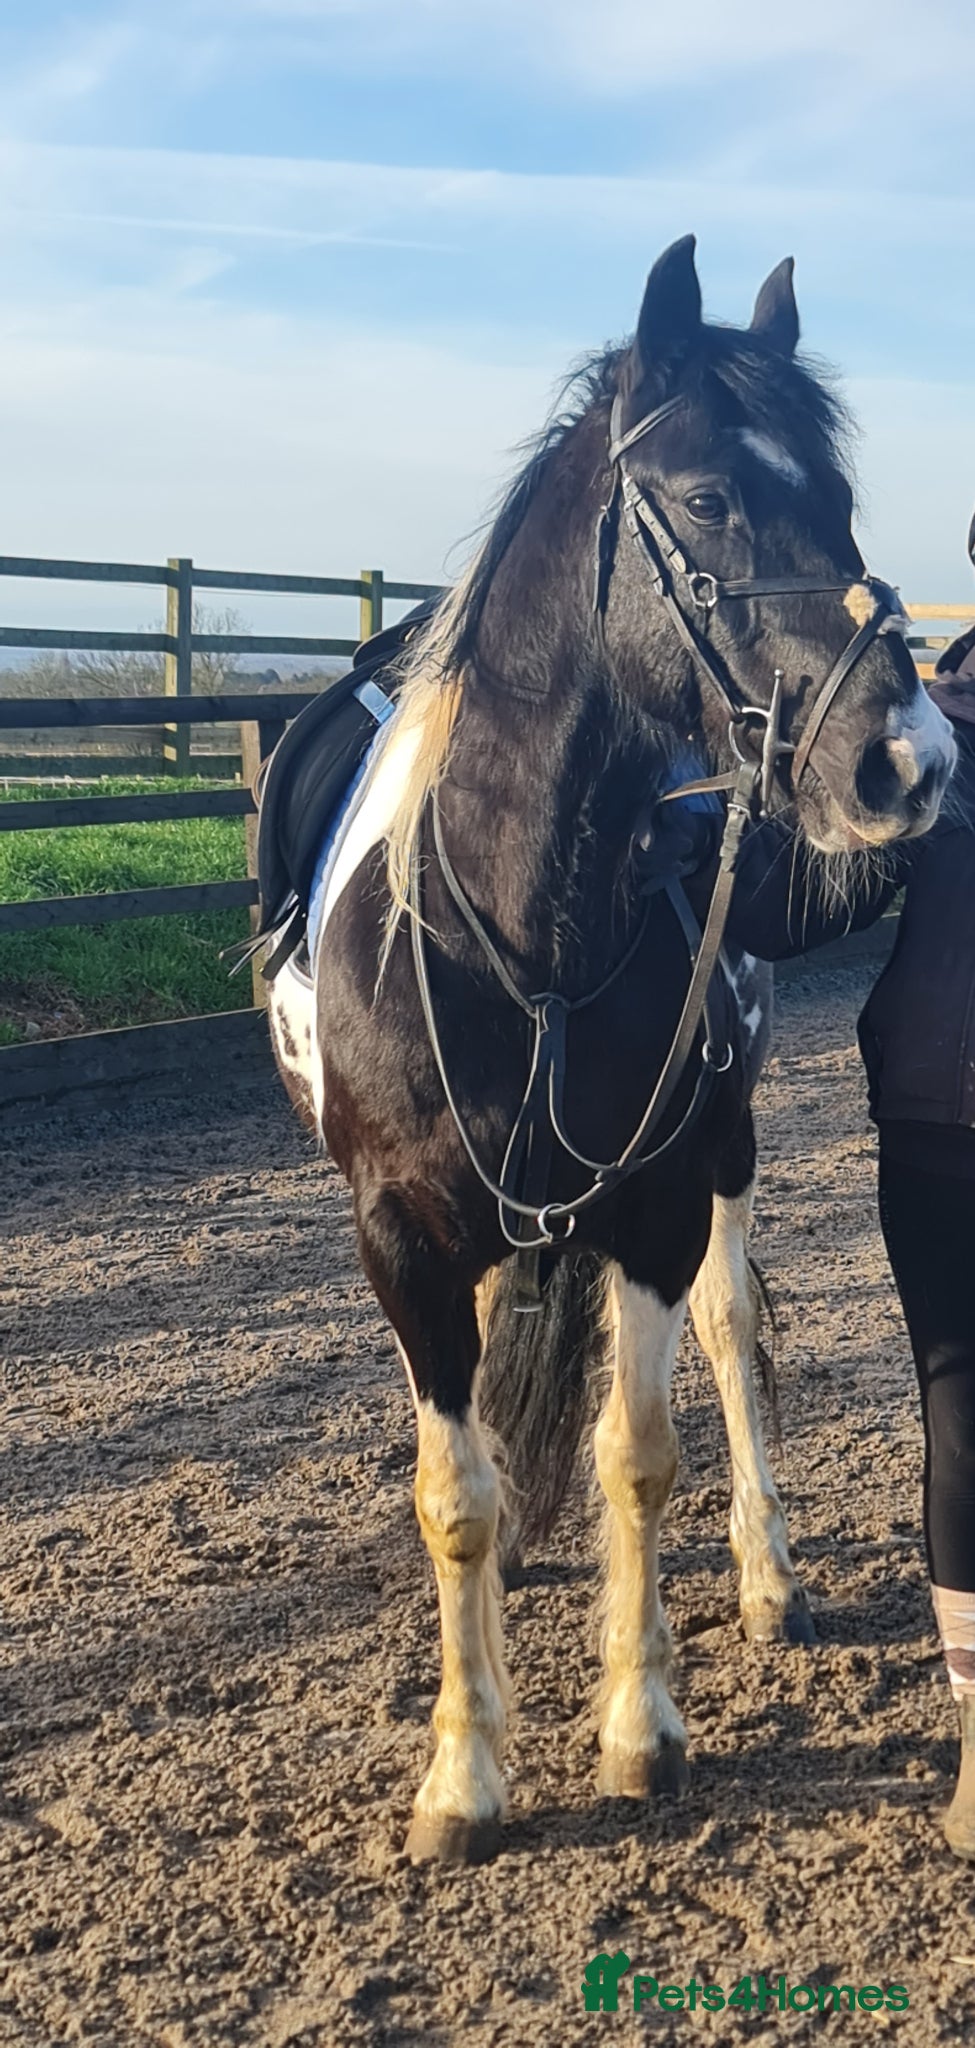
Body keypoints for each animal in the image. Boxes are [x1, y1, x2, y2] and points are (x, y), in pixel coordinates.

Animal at [262, 236, 954, 1865]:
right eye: (705, 499)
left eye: (838, 497)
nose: (905, 760)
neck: (520, 928)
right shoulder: (400, 1237)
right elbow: (449, 1494)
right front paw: (462, 1774)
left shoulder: (649, 1200)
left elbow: (638, 1453)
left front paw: (640, 1730)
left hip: (724, 1149)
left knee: (731, 1332)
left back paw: (766, 1577)